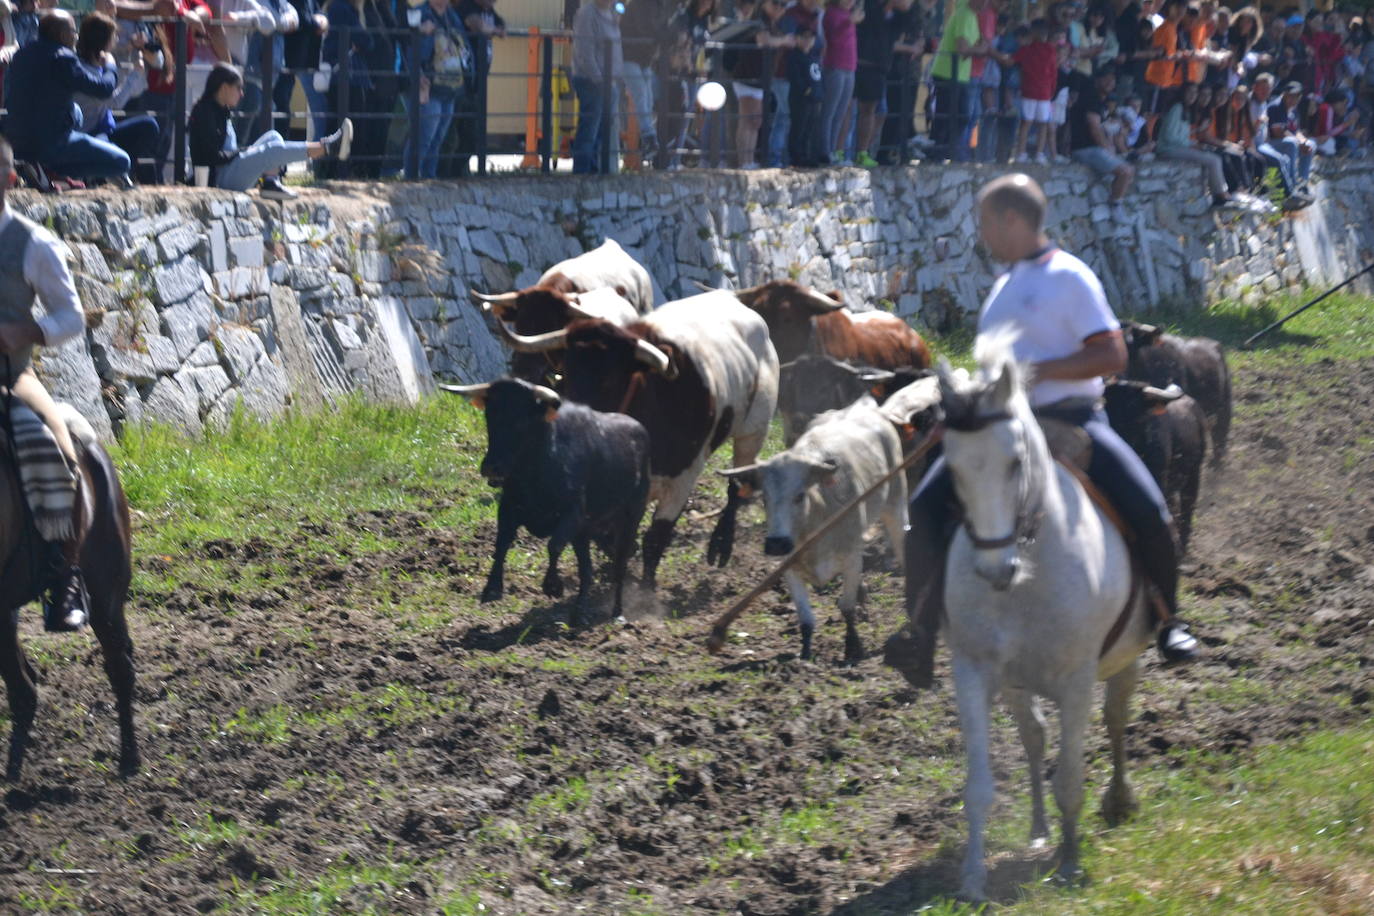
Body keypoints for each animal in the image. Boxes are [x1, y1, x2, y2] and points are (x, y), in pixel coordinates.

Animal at [500, 292, 780, 587]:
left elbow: (655, 539)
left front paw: (645, 590)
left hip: (753, 431)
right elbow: (609, 534)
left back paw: (721, 544)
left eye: (610, 378)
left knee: (737, 484)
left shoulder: (682, 481)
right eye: (567, 371)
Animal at [939, 336, 1154, 900]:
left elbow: (1071, 779)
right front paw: (972, 880)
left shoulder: (1076, 681)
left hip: (1126, 658)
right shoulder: (973, 674)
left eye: (1015, 462)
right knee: (1034, 739)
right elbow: (980, 785)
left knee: (1116, 718)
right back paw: (1038, 828)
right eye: (953, 469)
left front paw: (1071, 862)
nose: (995, 568)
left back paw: (1119, 799)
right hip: (1016, 686)